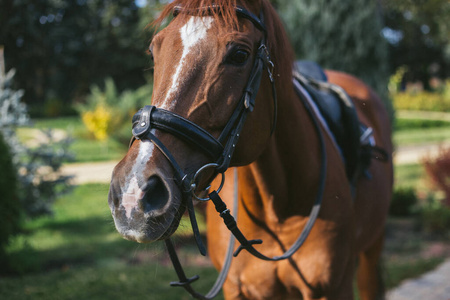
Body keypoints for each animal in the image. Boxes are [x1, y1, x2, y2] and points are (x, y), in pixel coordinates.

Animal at [107, 1, 392, 298]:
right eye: (154, 50)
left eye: (240, 55)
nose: (132, 193)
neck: (277, 209)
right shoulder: (236, 288)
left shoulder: (333, 288)